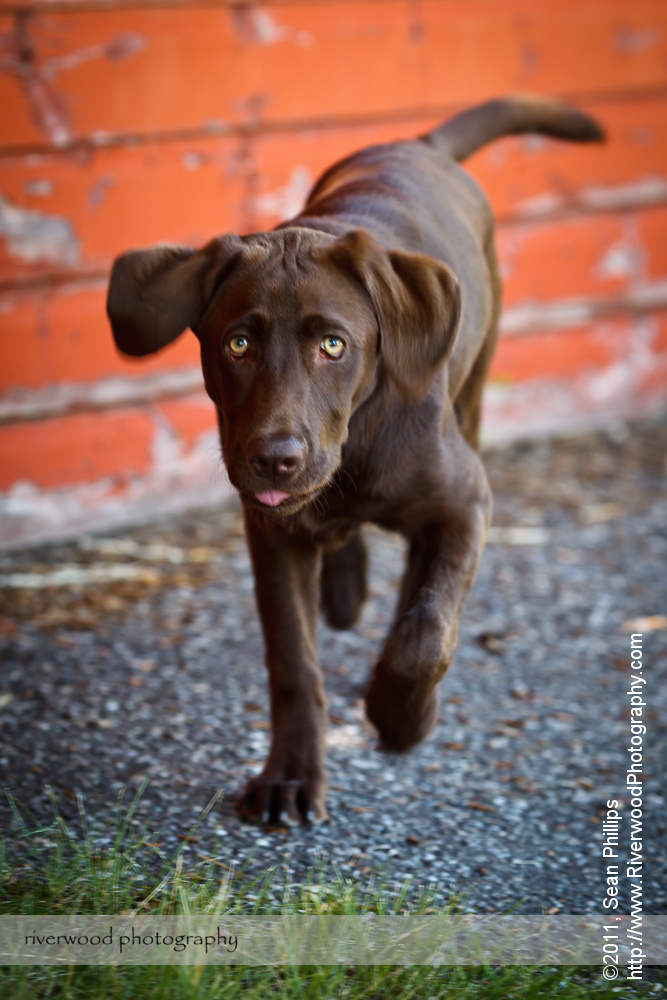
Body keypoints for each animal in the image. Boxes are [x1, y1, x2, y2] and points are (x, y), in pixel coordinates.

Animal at [108, 97, 604, 824]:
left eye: (334, 345)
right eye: (237, 344)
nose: (274, 459)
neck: (358, 443)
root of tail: (419, 142)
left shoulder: (465, 504)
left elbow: (425, 633)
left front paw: (400, 718)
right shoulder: (272, 533)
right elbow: (293, 660)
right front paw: (290, 774)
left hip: (473, 394)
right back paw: (344, 583)